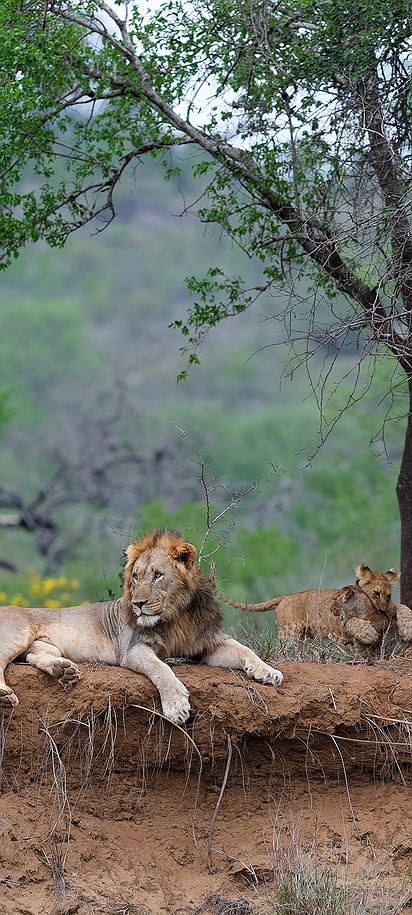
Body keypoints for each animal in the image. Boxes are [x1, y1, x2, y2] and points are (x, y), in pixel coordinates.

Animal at [0, 528, 283, 724]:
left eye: (157, 575)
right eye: (136, 576)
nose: (138, 603)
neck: (176, 616)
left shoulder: (209, 644)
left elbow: (245, 649)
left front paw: (268, 672)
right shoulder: (134, 650)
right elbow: (161, 670)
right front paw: (176, 706)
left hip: (45, 647)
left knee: (36, 656)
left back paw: (63, 671)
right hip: (17, 632)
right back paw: (4, 696)